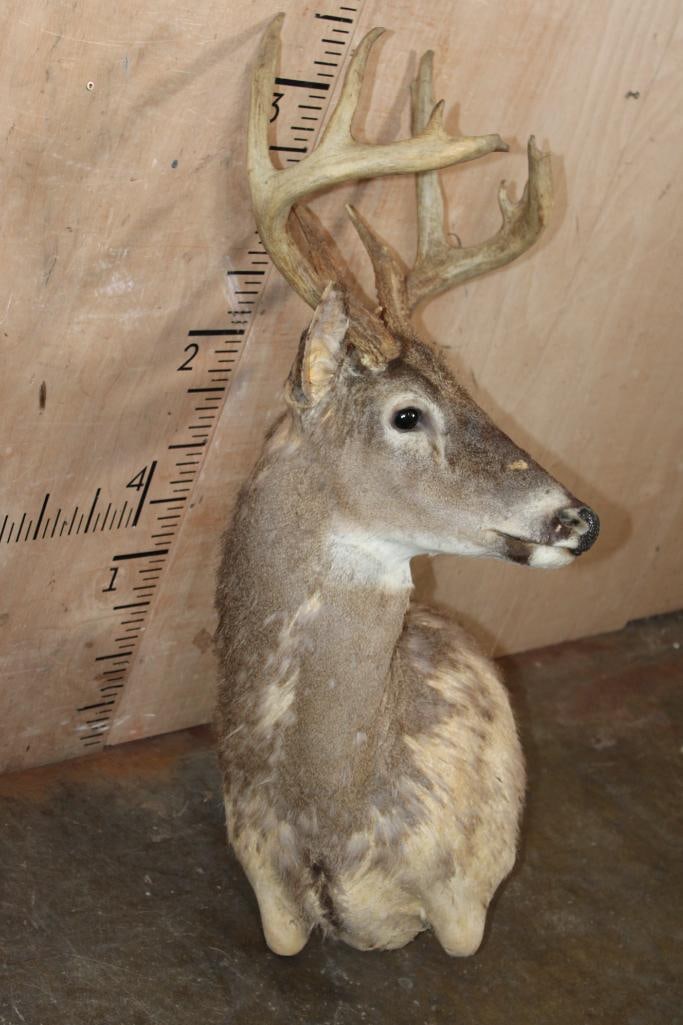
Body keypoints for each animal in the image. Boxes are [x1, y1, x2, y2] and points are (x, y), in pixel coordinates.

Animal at [215, 14, 599, 958]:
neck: (329, 809)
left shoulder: (465, 898)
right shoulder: (265, 888)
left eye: (468, 384)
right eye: (406, 413)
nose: (578, 520)